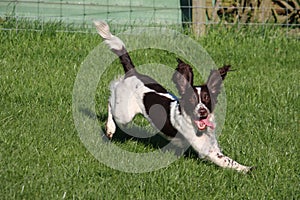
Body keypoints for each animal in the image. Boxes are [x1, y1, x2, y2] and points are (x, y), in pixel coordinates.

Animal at [94, 20, 253, 173]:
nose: (202, 111)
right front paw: (246, 169)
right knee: (111, 97)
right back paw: (110, 128)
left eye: (207, 98)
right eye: (191, 99)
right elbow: (227, 160)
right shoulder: (206, 150)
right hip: (124, 114)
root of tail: (133, 73)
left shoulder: (212, 143)